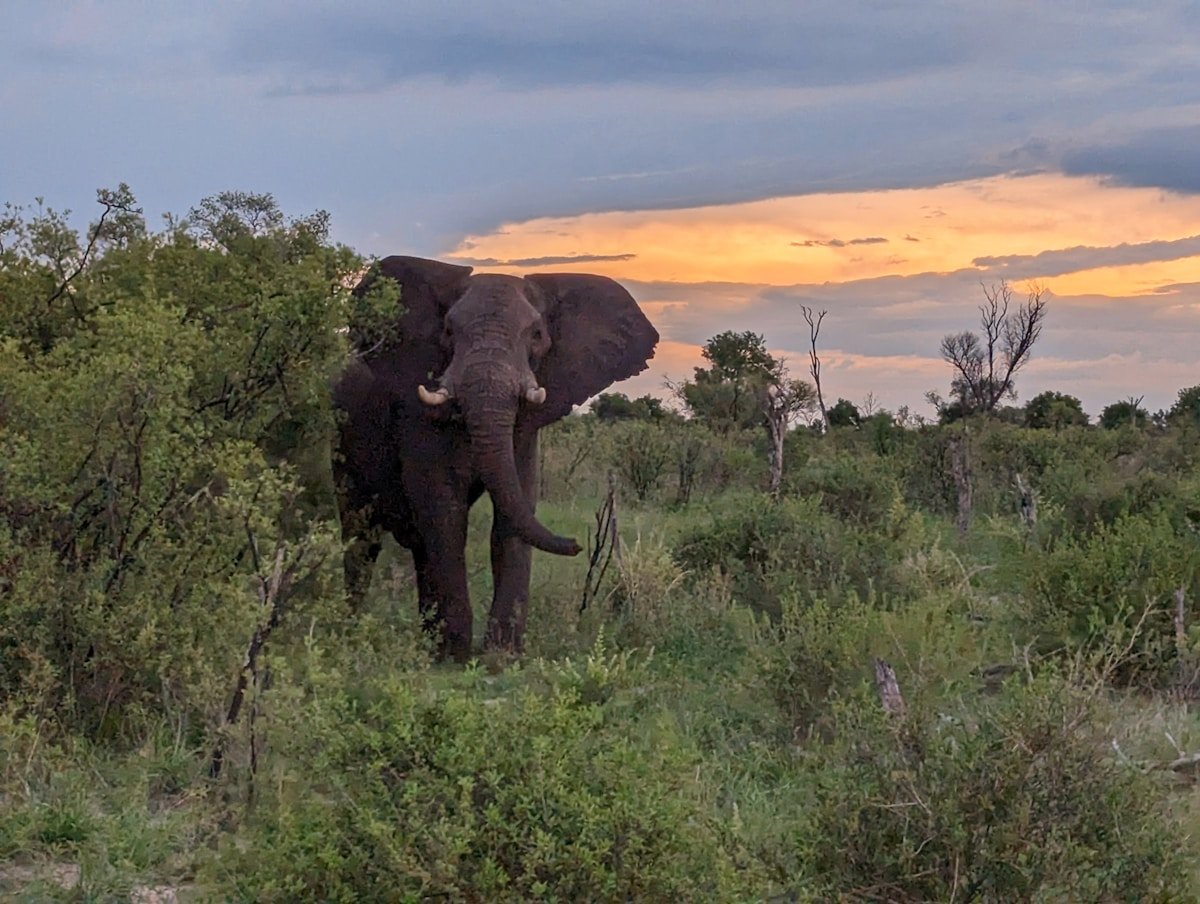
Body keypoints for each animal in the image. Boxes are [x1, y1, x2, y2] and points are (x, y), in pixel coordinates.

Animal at [333, 255, 659, 661]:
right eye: (448, 331)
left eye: (536, 334)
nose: (578, 544)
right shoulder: (415, 412)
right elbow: (444, 508)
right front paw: (456, 655)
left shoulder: (525, 428)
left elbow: (513, 513)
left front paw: (501, 657)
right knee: (361, 537)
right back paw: (353, 632)